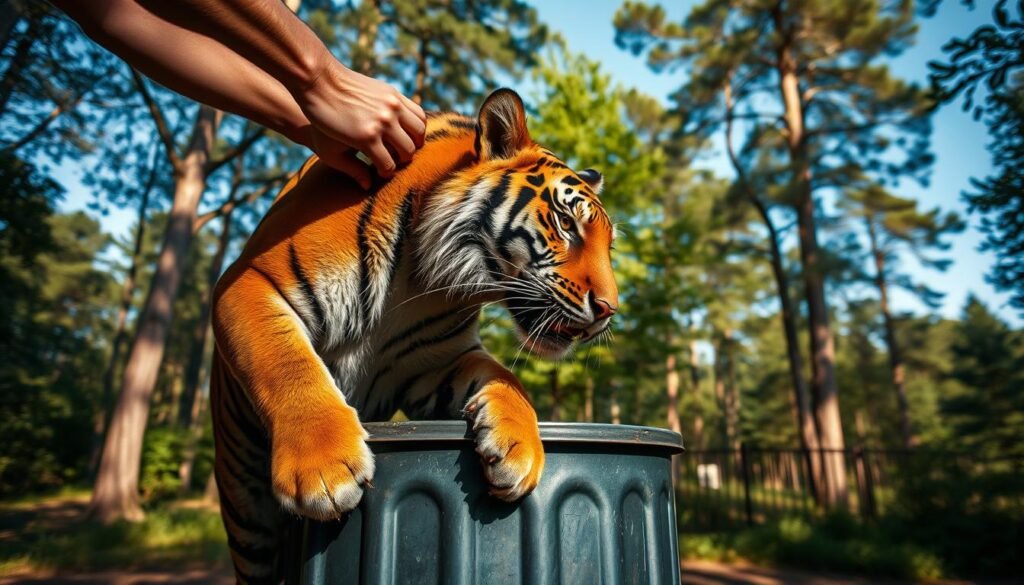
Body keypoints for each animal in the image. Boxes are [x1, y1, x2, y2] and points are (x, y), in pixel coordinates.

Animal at [209, 88, 618, 583]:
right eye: (566, 224)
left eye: (609, 245)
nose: (609, 309)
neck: (421, 277)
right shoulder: (247, 281)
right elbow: (286, 361)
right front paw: (324, 470)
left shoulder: (434, 365)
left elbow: (506, 377)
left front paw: (519, 451)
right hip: (247, 514)